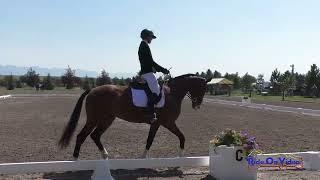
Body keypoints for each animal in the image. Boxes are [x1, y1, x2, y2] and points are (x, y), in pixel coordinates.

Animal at [58, 73, 211, 159]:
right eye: (202, 88)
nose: (197, 105)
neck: (172, 93)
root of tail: (92, 90)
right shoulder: (167, 123)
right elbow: (179, 137)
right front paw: (180, 156)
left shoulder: (158, 123)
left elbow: (152, 140)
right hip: (94, 119)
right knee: (81, 136)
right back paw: (75, 160)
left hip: (107, 119)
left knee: (95, 136)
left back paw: (105, 156)